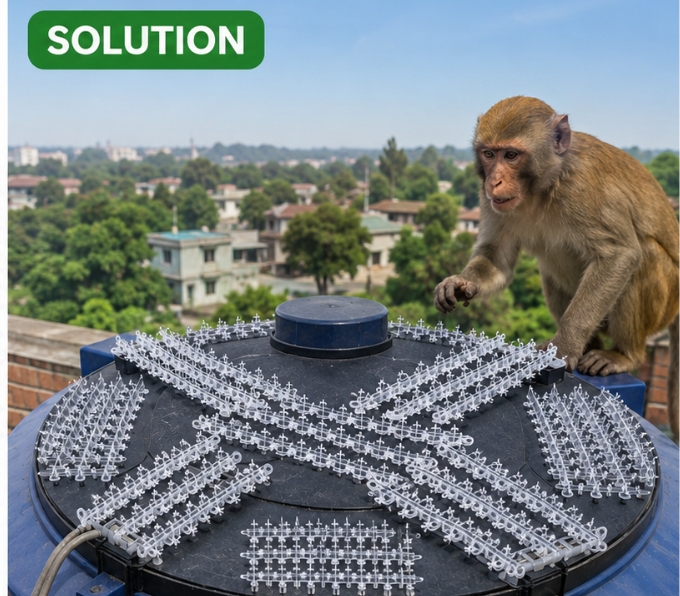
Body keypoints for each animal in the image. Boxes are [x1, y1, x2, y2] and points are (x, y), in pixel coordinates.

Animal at [434, 96, 679, 439]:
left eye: (511, 155)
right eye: (489, 154)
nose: (494, 180)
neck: (542, 187)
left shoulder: (583, 188)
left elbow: (620, 255)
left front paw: (564, 345)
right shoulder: (490, 199)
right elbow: (496, 260)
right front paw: (459, 283)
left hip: (665, 300)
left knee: (644, 258)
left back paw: (622, 355)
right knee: (550, 274)